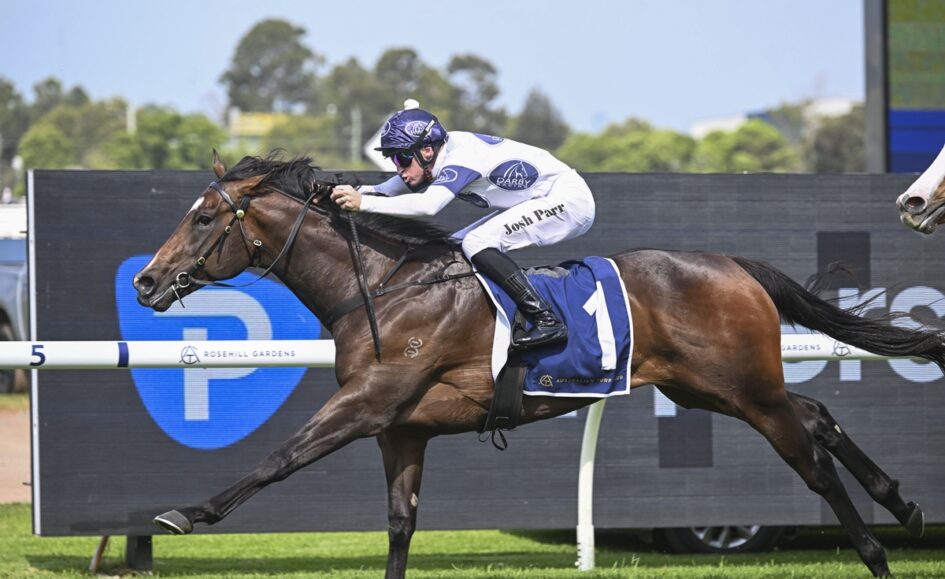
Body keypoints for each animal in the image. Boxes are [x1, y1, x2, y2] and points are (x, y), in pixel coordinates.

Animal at [133, 152, 944, 578]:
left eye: (203, 218)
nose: (144, 281)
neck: (385, 286)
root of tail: (733, 264)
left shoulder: (369, 401)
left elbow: (279, 458)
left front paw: (185, 512)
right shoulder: (401, 428)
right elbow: (399, 522)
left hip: (746, 390)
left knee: (811, 459)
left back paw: (876, 550)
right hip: (713, 387)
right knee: (818, 414)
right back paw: (900, 501)